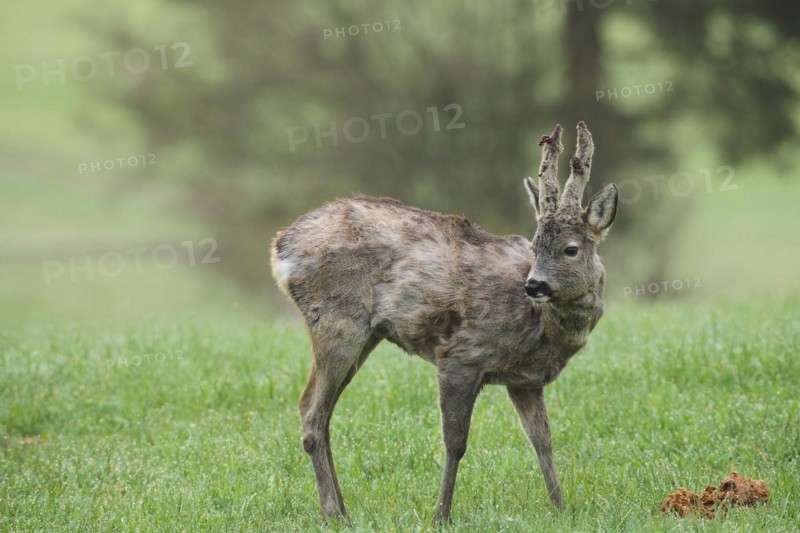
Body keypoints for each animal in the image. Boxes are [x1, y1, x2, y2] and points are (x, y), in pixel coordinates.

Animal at [270, 122, 618, 524]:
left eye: (570, 249)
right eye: (535, 246)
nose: (534, 285)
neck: (542, 329)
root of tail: (280, 248)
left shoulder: (525, 381)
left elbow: (542, 440)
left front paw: (561, 507)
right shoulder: (461, 356)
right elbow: (456, 443)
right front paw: (441, 514)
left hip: (364, 335)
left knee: (321, 411)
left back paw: (342, 508)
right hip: (337, 321)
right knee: (312, 411)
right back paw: (334, 513)